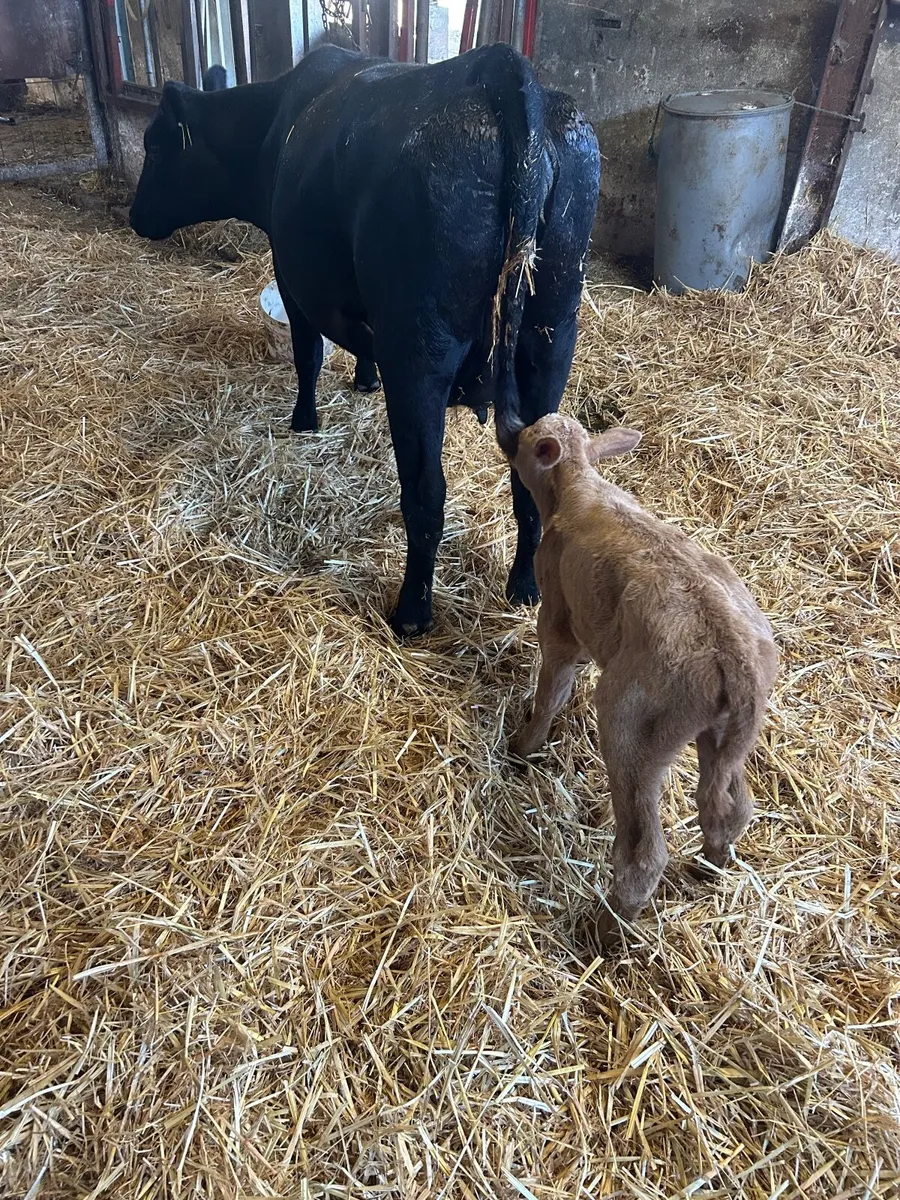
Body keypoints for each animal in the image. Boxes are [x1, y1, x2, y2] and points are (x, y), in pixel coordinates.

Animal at [129, 44, 600, 638]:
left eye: (154, 145)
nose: (133, 215)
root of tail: (502, 70)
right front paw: (363, 378)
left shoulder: (293, 277)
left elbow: (307, 356)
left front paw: (304, 422)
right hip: (551, 339)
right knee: (534, 480)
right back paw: (524, 588)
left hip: (420, 349)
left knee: (425, 493)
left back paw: (411, 614)